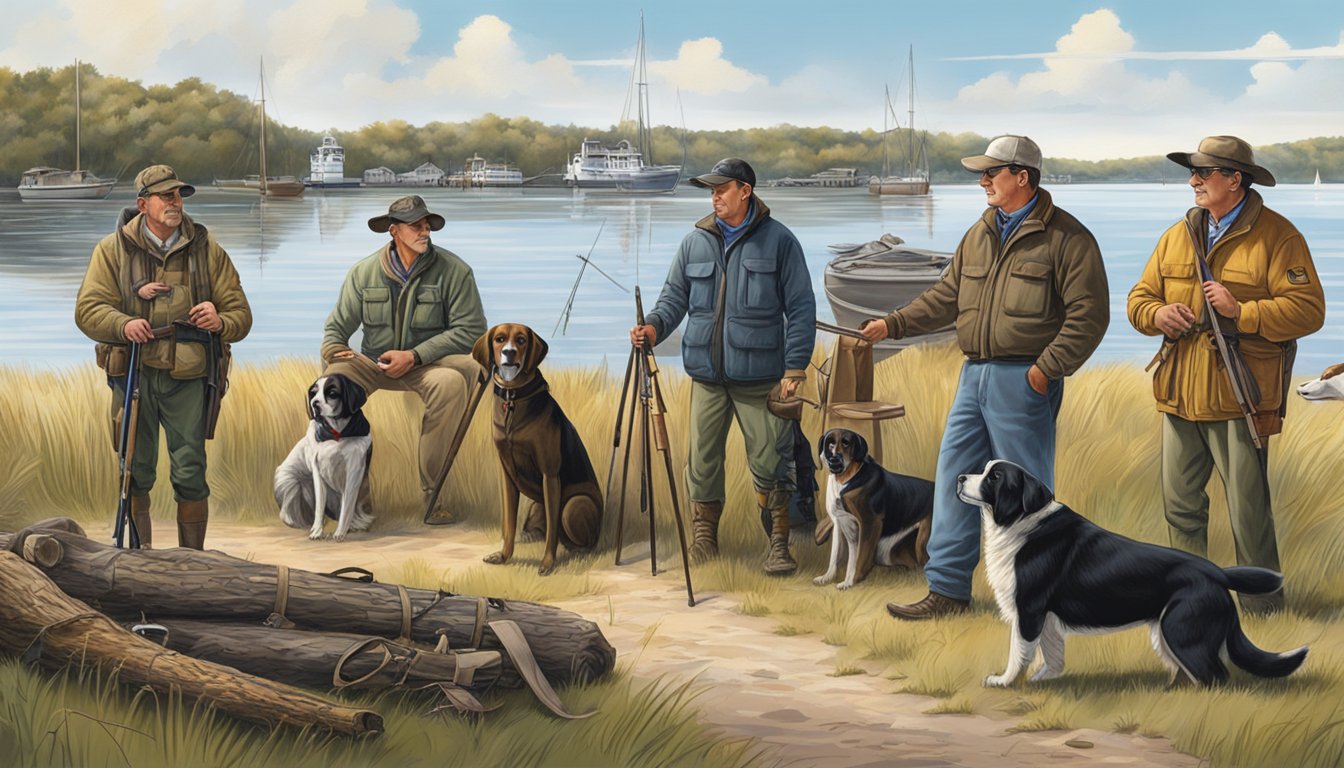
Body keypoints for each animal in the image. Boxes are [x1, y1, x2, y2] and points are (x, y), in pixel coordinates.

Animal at [271, 373, 373, 540]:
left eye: (332, 393)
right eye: (313, 393)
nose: (314, 404)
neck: (337, 434)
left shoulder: (354, 473)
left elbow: (347, 507)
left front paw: (340, 532)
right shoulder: (318, 473)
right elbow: (319, 507)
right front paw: (317, 532)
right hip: (291, 482)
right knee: (289, 510)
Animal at [470, 321, 602, 572]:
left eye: (521, 340)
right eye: (499, 339)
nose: (509, 352)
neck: (512, 398)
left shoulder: (549, 475)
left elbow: (551, 531)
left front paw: (548, 563)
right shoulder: (506, 477)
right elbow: (509, 524)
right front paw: (504, 555)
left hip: (573, 505)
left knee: (576, 537)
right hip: (535, 506)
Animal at [806, 430, 935, 591]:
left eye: (846, 443)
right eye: (830, 443)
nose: (834, 459)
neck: (846, 479)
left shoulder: (869, 524)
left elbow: (861, 558)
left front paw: (851, 581)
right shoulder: (840, 524)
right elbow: (836, 556)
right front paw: (828, 577)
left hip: (922, 542)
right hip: (889, 552)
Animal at [962, 459, 1306, 688]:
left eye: (994, 477)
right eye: (984, 469)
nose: (961, 476)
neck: (1022, 524)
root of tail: (1215, 571)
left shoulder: (1029, 610)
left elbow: (1018, 652)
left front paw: (1003, 681)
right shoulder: (1045, 618)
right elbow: (1053, 652)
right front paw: (1042, 678)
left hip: (1179, 629)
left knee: (1215, 677)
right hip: (1168, 632)